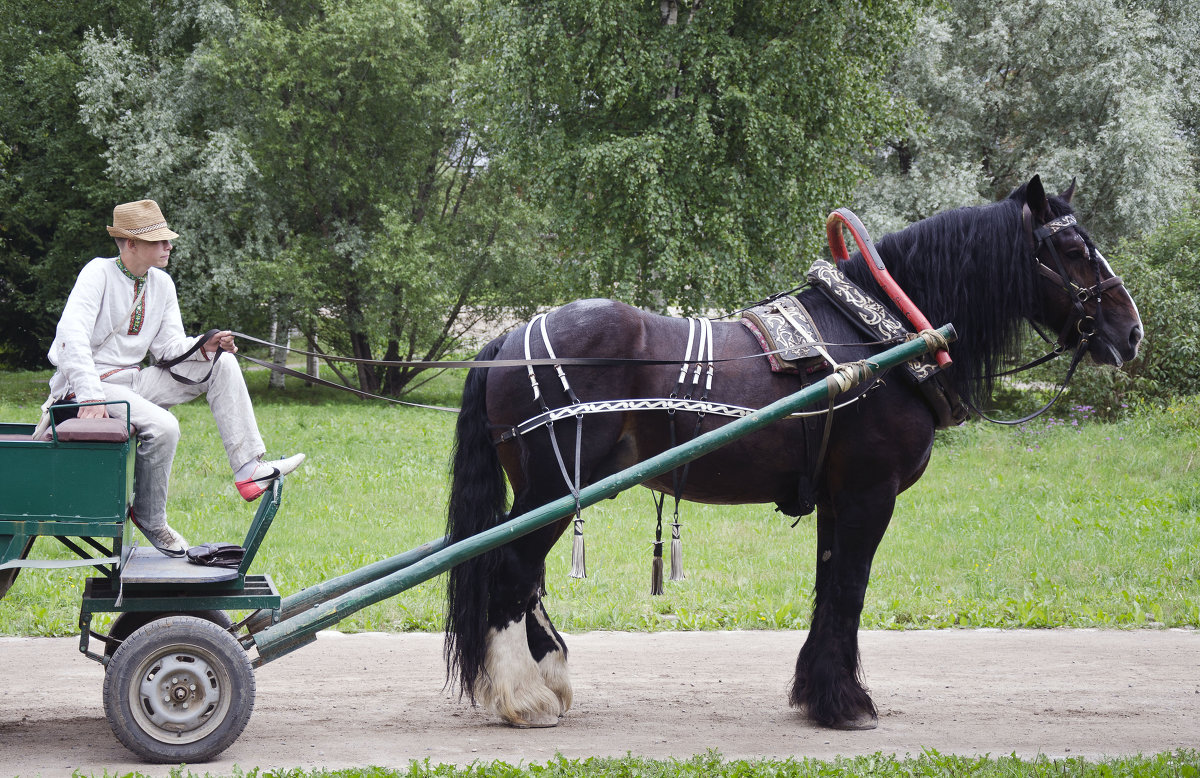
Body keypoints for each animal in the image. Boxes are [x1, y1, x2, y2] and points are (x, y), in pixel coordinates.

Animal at [444, 175, 1142, 729]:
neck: (878, 336)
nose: (1132, 330)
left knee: (525, 578)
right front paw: (845, 704)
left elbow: (828, 585)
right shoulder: (869, 493)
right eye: (1074, 251)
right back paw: (523, 698)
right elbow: (850, 589)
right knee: (510, 573)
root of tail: (511, 337)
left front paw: (819, 694)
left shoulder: (838, 498)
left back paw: (548, 678)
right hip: (552, 488)